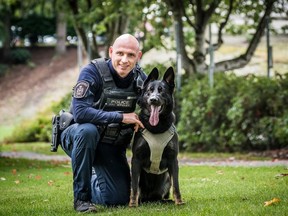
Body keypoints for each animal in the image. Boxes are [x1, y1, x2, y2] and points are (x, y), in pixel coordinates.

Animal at [129, 67, 183, 208]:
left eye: (161, 91)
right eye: (149, 91)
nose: (153, 99)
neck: (156, 128)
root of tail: (148, 199)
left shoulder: (173, 160)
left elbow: (176, 184)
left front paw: (179, 202)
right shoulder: (136, 160)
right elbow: (134, 186)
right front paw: (132, 204)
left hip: (166, 179)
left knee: (161, 195)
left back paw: (167, 201)